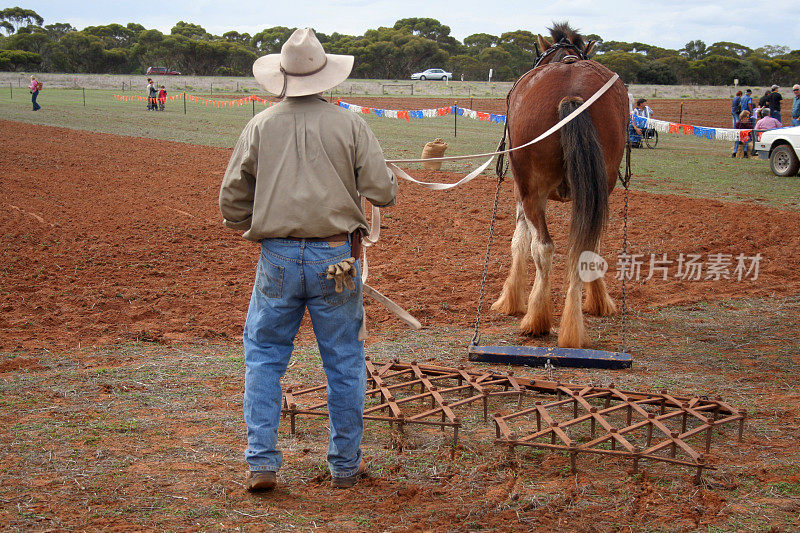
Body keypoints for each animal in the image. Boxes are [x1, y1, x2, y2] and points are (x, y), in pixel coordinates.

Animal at [490, 22, 628, 348]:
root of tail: (571, 94)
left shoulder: (520, 193)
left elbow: (519, 242)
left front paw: (511, 300)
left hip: (532, 191)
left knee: (543, 247)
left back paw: (537, 319)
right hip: (598, 190)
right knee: (585, 246)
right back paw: (575, 325)